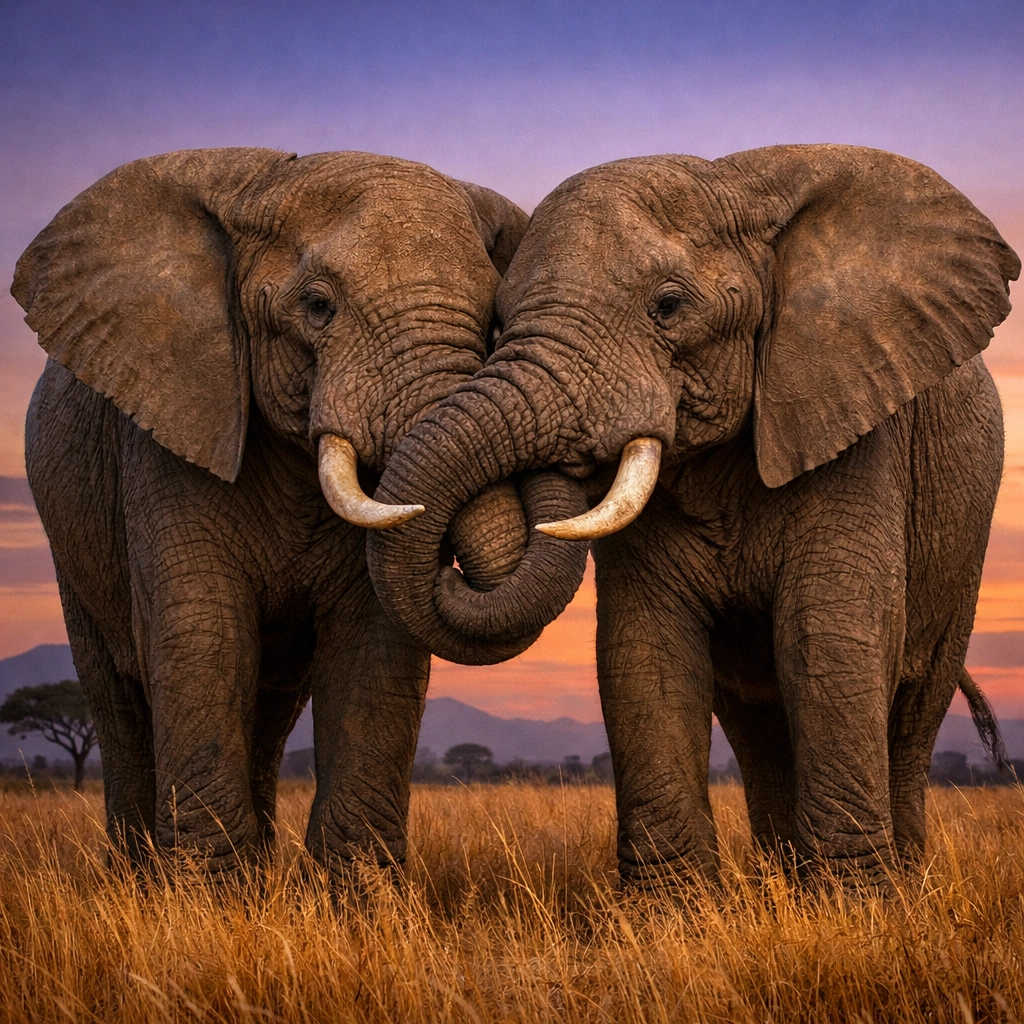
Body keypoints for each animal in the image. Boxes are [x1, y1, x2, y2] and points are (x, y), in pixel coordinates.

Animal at [14, 147, 587, 876]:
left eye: (493, 322)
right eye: (317, 307)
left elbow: (374, 645)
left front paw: (360, 893)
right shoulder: (169, 427)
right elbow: (202, 635)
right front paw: (205, 893)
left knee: (269, 704)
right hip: (72, 542)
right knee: (117, 698)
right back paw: (140, 875)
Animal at [366, 145, 1020, 887]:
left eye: (669, 306)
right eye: (497, 324)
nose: (448, 572)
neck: (738, 183)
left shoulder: (856, 421)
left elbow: (827, 634)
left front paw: (857, 902)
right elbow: (646, 648)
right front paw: (671, 907)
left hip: (962, 547)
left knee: (914, 704)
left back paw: (900, 882)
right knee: (761, 722)